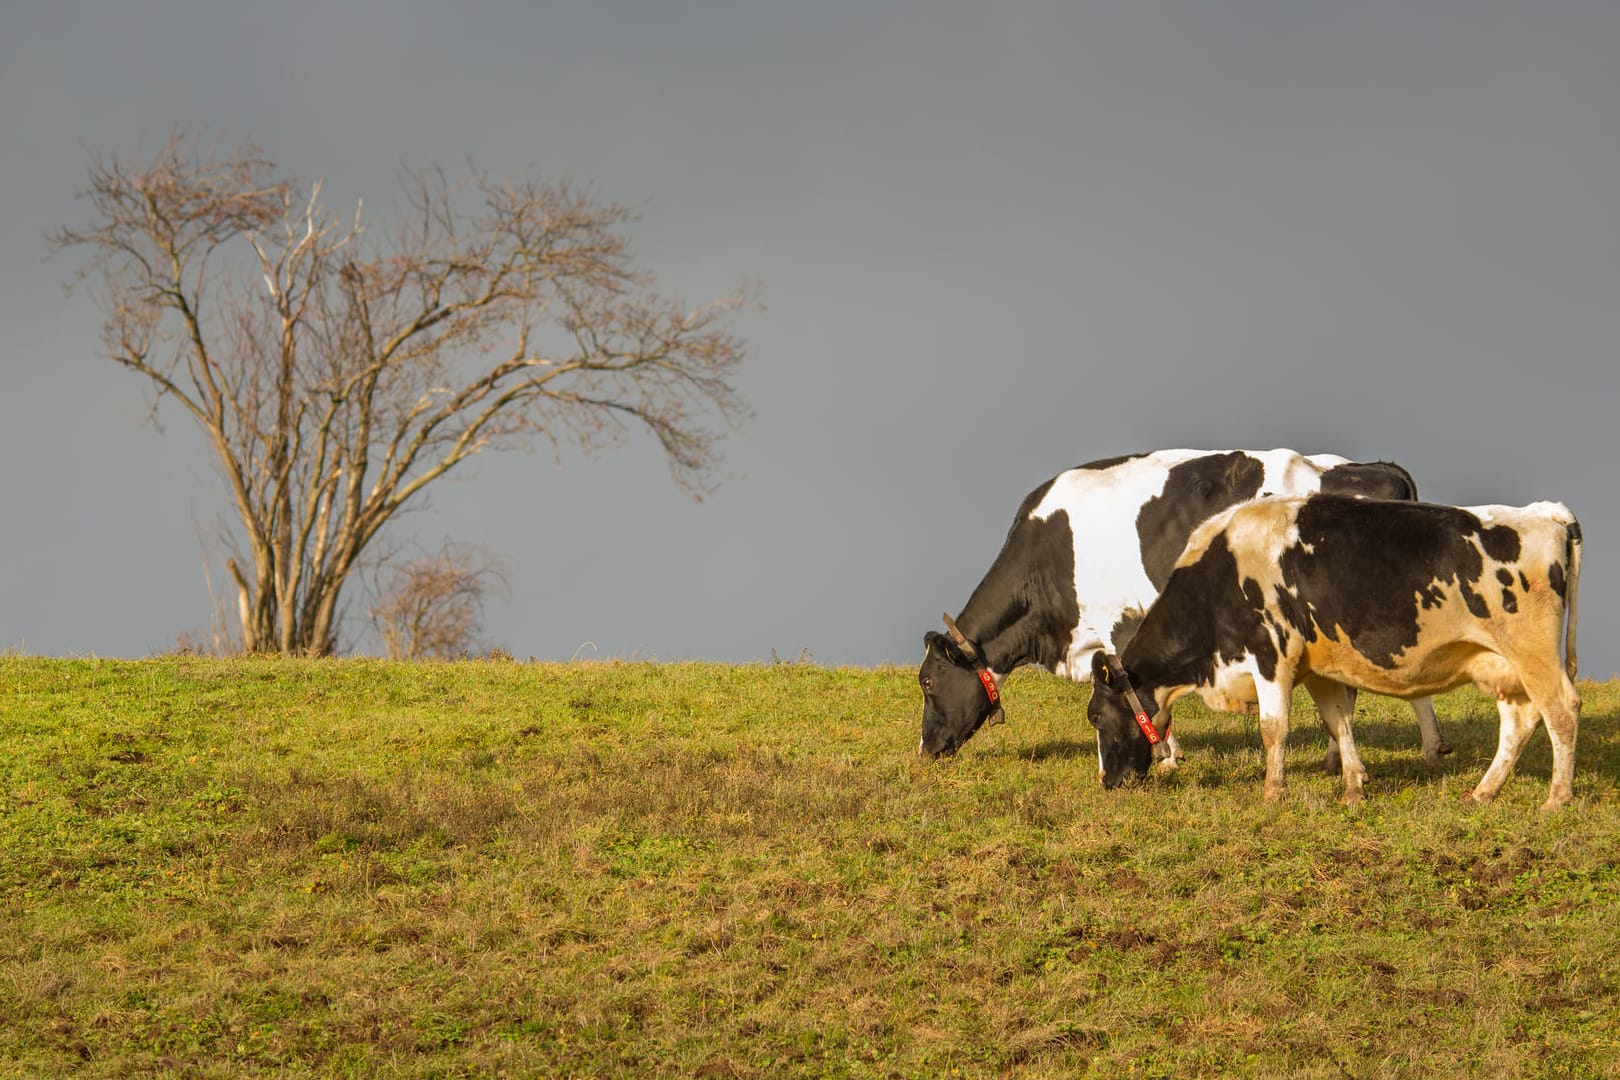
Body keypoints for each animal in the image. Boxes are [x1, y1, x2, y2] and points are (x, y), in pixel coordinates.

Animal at [920, 446, 1451, 767]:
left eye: (927, 681)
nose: (925, 749)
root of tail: (1376, 467)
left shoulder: (1120, 620)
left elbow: (1136, 688)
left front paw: (1167, 756)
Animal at [1088, 495, 1581, 806]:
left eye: (1095, 716)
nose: (1106, 782)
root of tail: (1545, 513)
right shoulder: (1318, 668)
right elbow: (1338, 721)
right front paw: (1353, 788)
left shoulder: (1271, 657)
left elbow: (1274, 729)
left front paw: (1273, 793)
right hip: (1502, 664)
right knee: (1520, 721)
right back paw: (1483, 792)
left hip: (1533, 652)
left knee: (1561, 710)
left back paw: (1556, 799)